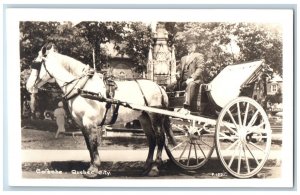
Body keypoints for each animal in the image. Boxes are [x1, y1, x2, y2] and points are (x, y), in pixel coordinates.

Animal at [27, 43, 175, 178]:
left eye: (36, 64)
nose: (28, 86)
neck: (83, 87)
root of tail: (160, 87)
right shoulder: (82, 124)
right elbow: (89, 145)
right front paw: (92, 166)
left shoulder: (89, 122)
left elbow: (93, 144)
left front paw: (94, 169)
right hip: (144, 118)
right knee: (151, 139)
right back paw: (146, 166)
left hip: (155, 116)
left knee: (160, 138)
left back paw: (154, 168)